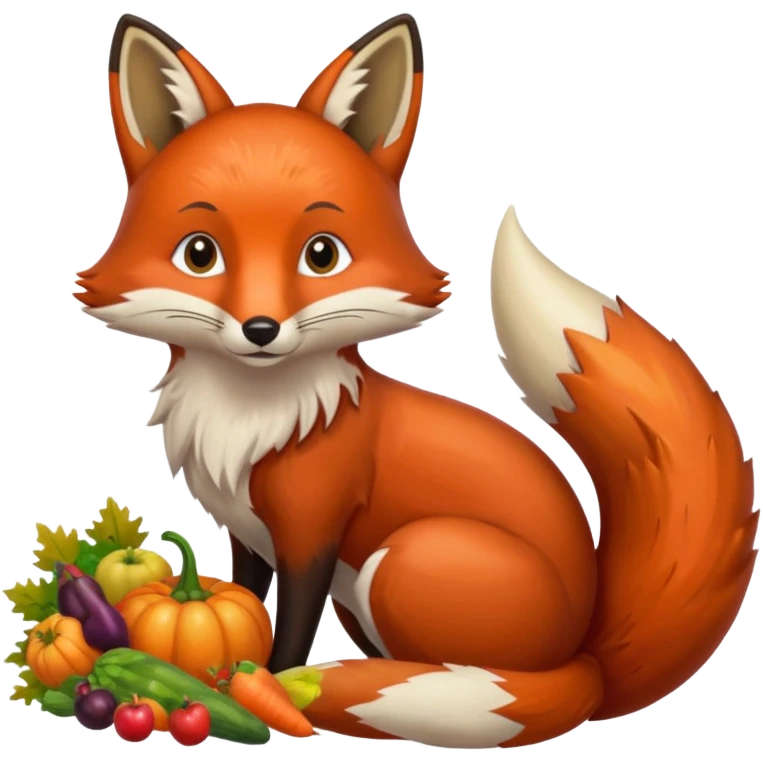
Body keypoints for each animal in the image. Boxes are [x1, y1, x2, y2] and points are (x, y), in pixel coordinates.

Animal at [74, 11, 759, 750]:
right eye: (199, 253)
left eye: (322, 255)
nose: (261, 328)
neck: (252, 419)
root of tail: (589, 660)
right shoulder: (245, 528)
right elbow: (248, 595)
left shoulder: (313, 528)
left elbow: (290, 627)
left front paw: (268, 685)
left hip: (403, 559)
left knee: (480, 678)